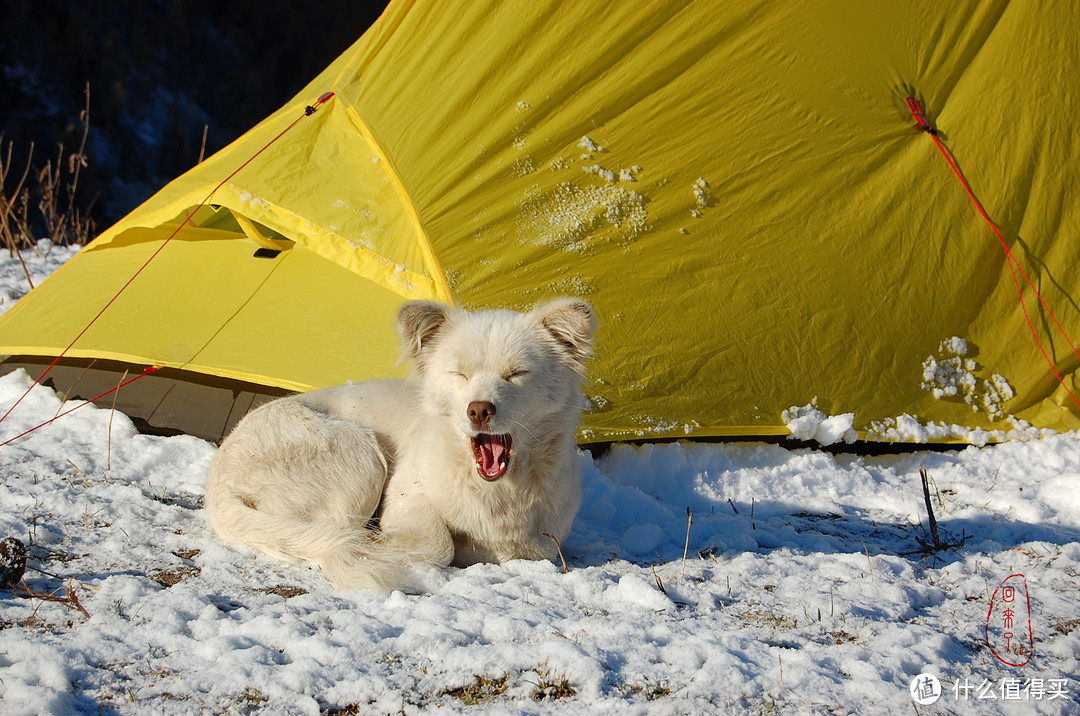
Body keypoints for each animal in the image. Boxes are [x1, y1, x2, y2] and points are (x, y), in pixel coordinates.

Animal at [206, 300, 596, 591]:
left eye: (516, 374)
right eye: (459, 374)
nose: (479, 410)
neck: (497, 491)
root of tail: (218, 483)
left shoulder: (543, 541)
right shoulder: (407, 496)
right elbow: (439, 545)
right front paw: (385, 545)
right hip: (360, 456)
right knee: (333, 530)